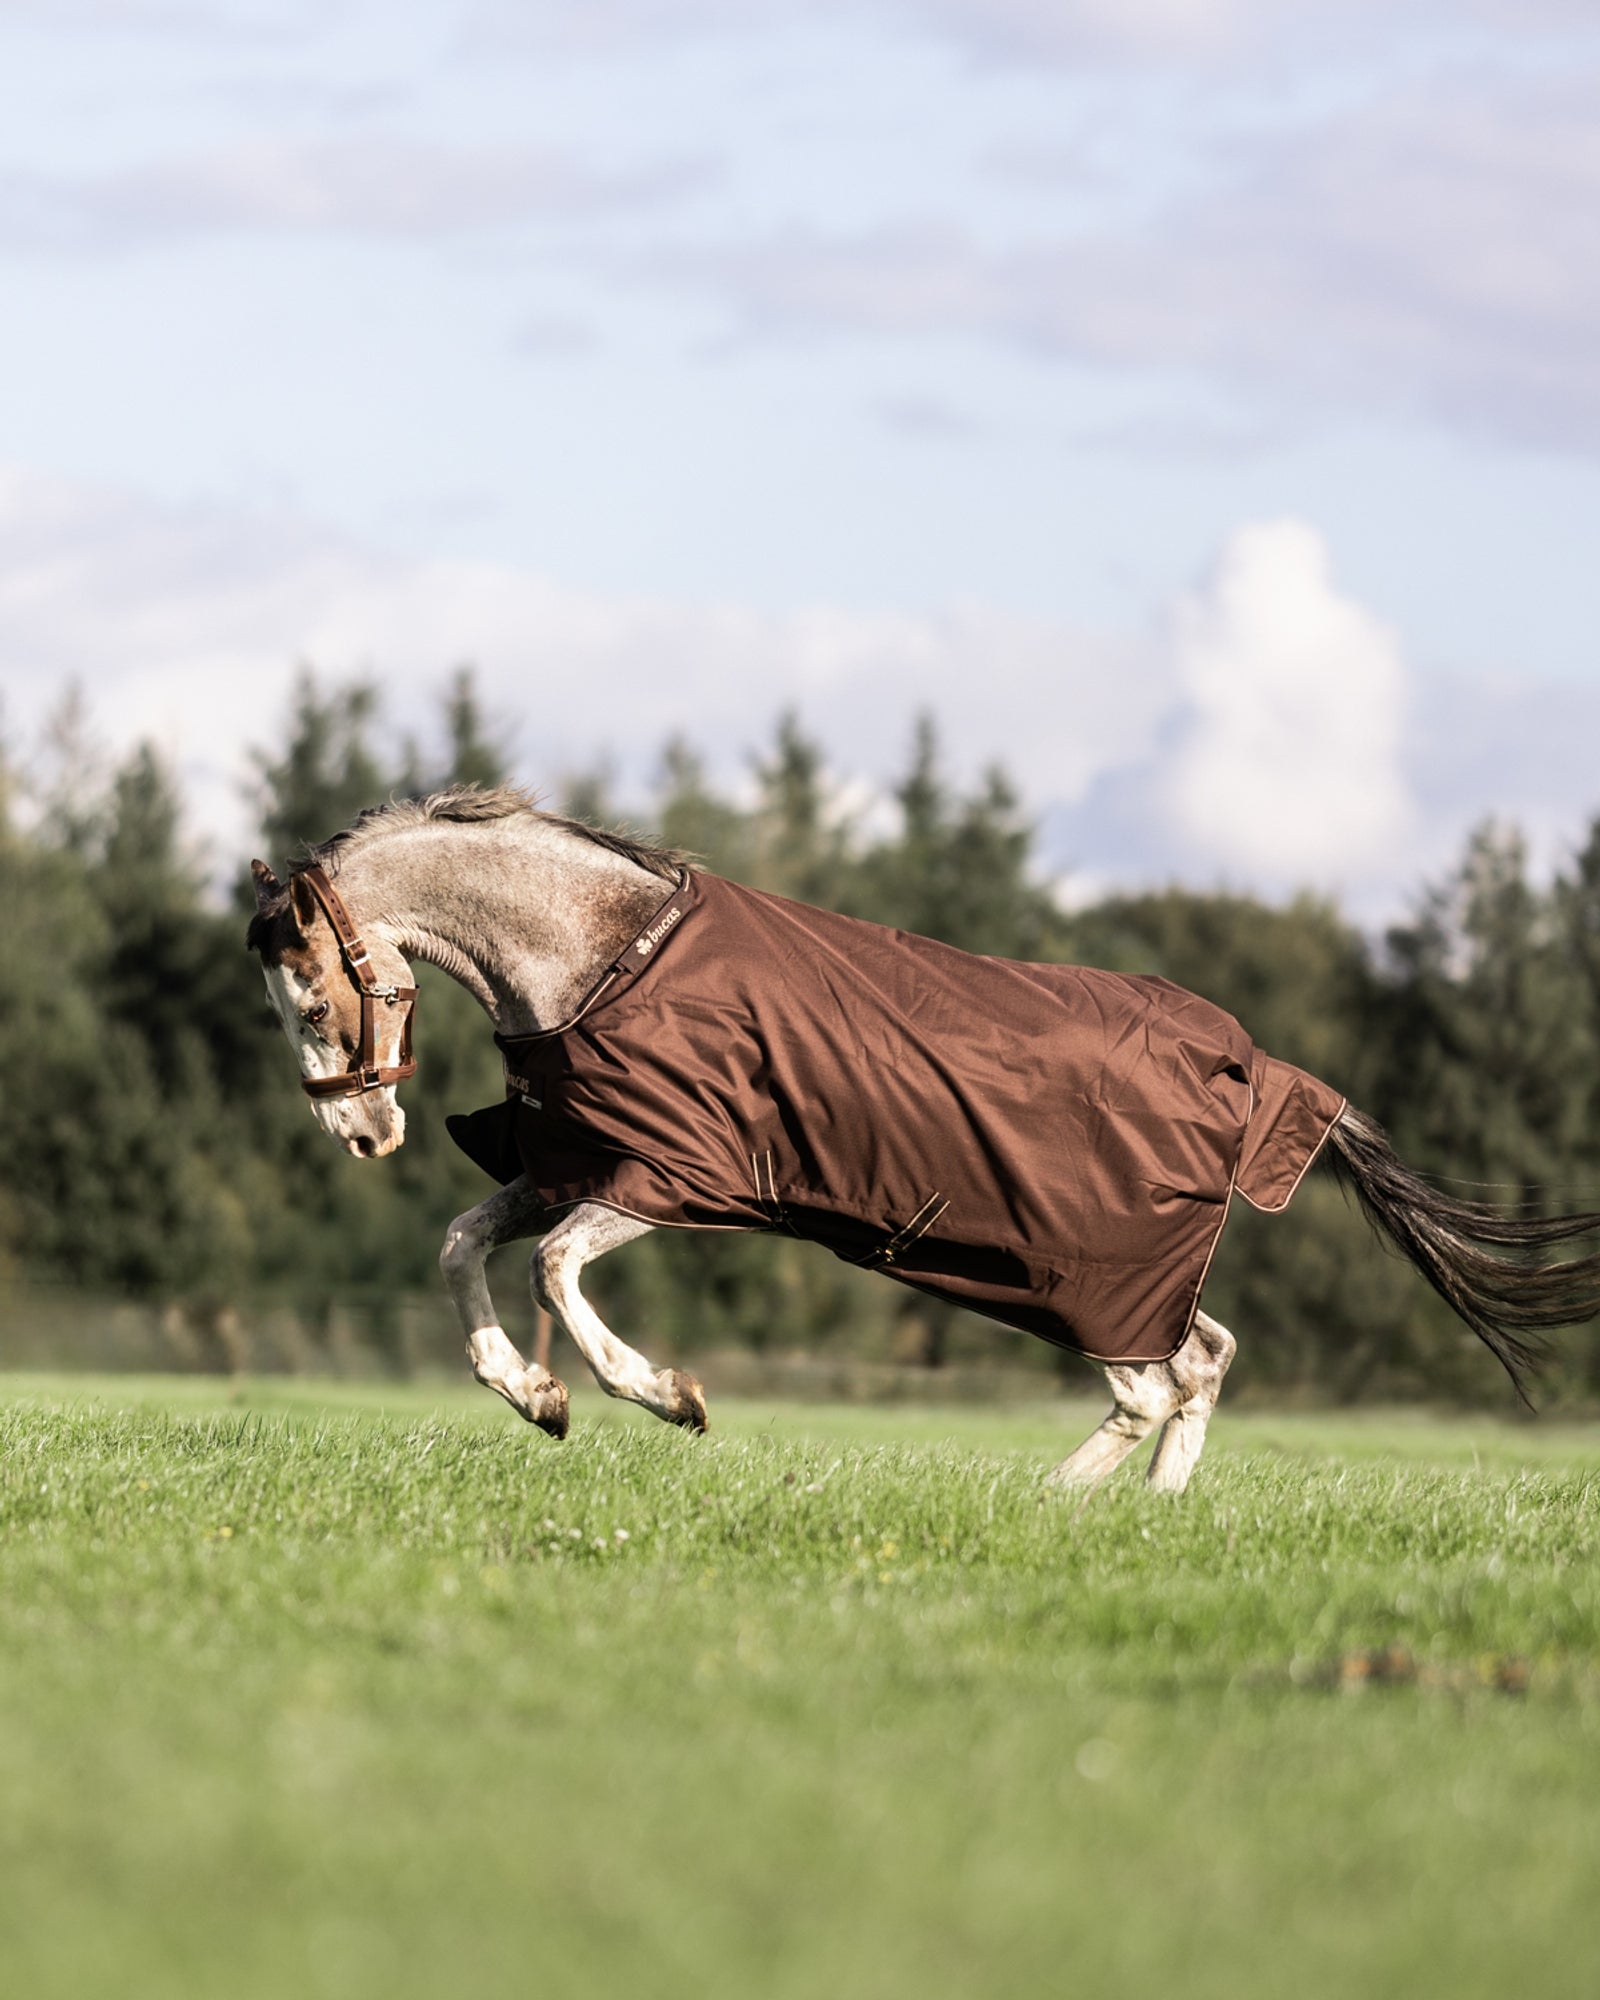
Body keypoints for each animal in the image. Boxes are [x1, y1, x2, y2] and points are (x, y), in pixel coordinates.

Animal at [247, 785, 1600, 1494]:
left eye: (308, 1000)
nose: (362, 1131)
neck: (600, 954)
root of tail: (1254, 1064)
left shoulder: (670, 1175)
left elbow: (549, 1270)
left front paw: (668, 1396)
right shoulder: (567, 1163)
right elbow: (459, 1245)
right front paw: (535, 1400)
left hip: (1081, 1275)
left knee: (1152, 1381)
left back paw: (1051, 1509)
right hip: (1114, 1274)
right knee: (1203, 1359)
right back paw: (1150, 1518)